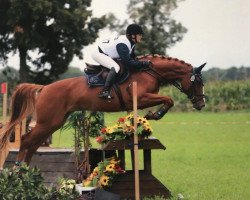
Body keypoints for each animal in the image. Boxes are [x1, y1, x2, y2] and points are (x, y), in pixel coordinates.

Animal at [0, 54, 206, 164]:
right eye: (197, 83)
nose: (201, 105)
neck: (149, 72)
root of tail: (44, 88)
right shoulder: (140, 98)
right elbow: (169, 99)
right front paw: (155, 114)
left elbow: (167, 100)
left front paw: (151, 115)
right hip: (48, 121)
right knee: (27, 140)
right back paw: (19, 166)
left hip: (53, 122)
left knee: (33, 143)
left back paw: (26, 167)